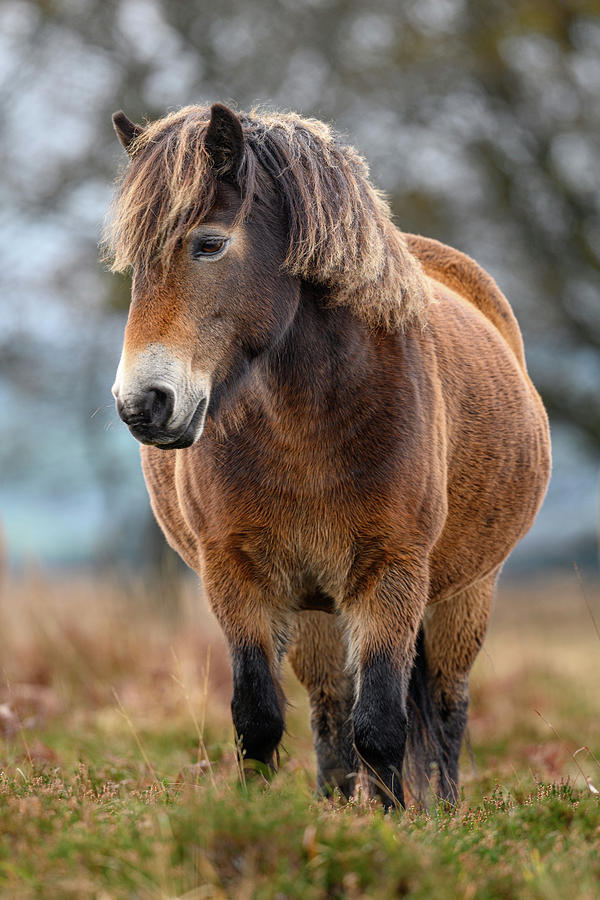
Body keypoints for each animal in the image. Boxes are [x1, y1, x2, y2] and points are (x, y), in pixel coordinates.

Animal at [103, 105, 548, 808]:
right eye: (136, 264)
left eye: (209, 244)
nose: (141, 404)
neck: (305, 428)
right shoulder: (238, 580)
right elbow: (259, 720)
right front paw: (260, 821)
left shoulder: (391, 576)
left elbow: (384, 727)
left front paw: (397, 824)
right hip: (316, 608)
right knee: (330, 708)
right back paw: (335, 806)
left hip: (466, 594)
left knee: (445, 709)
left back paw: (444, 808)